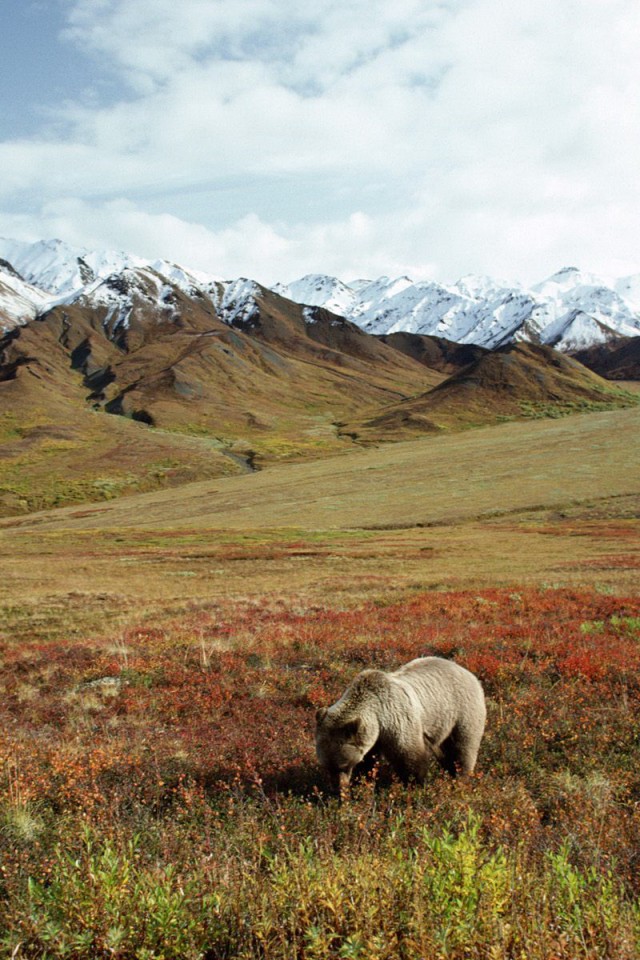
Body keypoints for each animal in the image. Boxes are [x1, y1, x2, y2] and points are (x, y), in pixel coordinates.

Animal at [316, 652, 484, 796]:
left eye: (343, 765)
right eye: (326, 766)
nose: (337, 789)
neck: (378, 718)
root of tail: (468, 672)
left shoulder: (398, 720)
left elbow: (410, 758)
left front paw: (415, 786)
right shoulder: (372, 737)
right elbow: (367, 763)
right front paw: (361, 784)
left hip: (462, 712)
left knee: (463, 748)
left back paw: (460, 778)